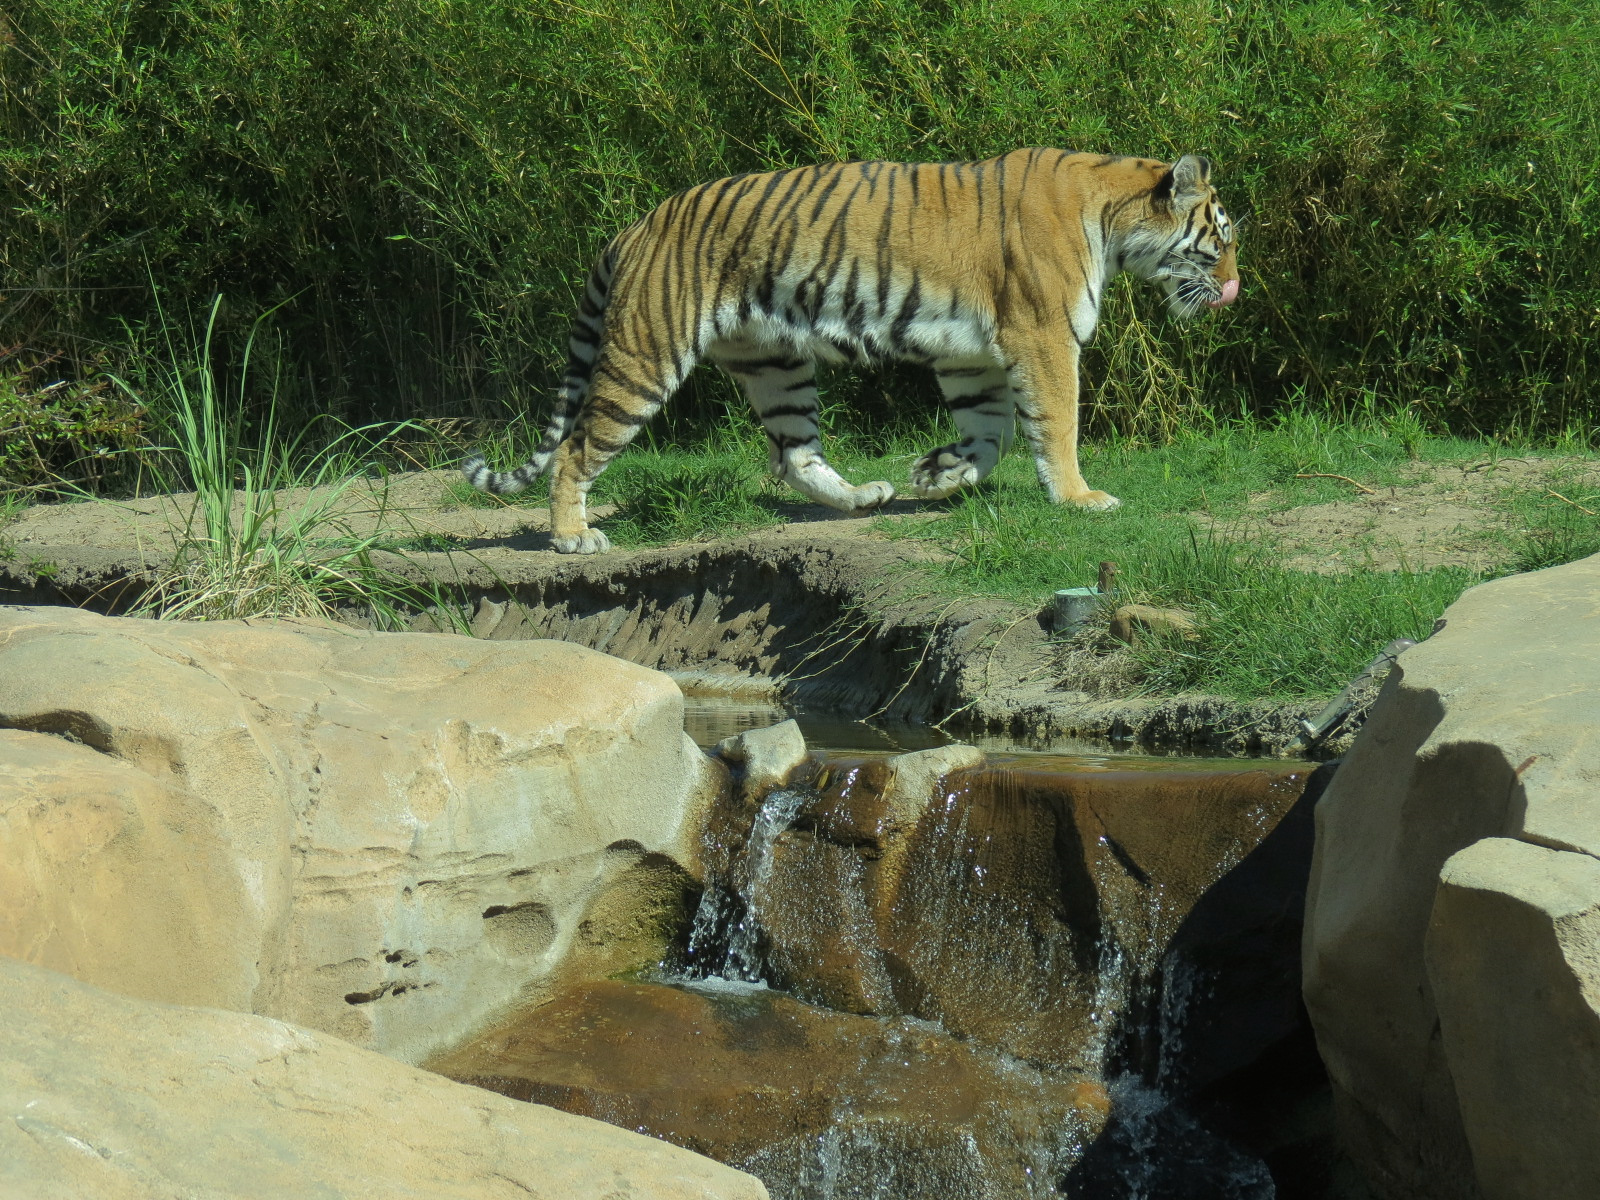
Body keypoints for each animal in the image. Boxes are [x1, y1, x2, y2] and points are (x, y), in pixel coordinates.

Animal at [462, 148, 1239, 553]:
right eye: (1220, 238)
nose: (1235, 287)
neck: (1112, 216)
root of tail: (635, 227)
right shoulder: (1043, 337)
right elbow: (1056, 425)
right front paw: (1080, 498)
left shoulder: (973, 355)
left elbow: (991, 433)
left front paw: (939, 474)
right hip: (646, 357)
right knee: (575, 448)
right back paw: (572, 536)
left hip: (775, 362)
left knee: (793, 454)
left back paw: (865, 496)